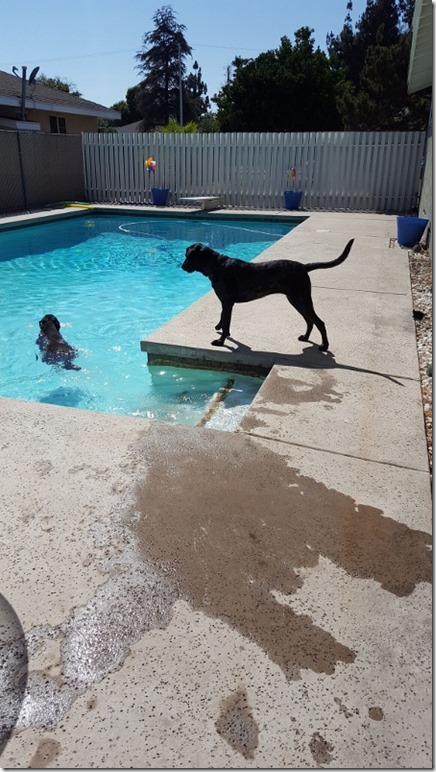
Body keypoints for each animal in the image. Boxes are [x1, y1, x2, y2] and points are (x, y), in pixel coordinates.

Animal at [181, 238, 354, 352]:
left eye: (188, 256)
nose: (182, 267)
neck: (216, 265)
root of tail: (304, 267)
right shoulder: (226, 303)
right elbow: (223, 319)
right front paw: (221, 330)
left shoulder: (227, 302)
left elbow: (226, 322)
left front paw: (221, 341)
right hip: (296, 300)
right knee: (310, 321)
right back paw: (305, 338)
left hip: (301, 299)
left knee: (319, 322)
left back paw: (325, 346)